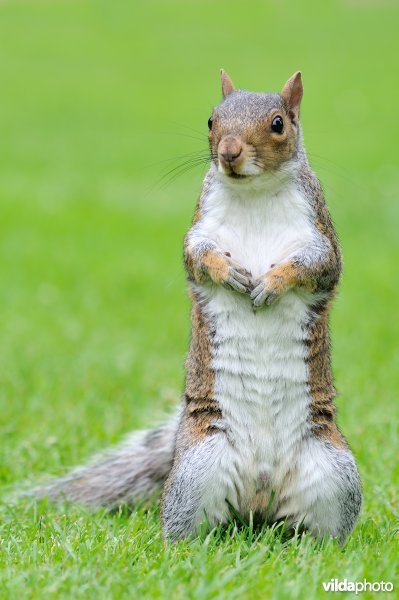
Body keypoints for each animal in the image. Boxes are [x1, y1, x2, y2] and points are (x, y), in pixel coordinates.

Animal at [32, 70, 360, 544]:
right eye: (211, 120)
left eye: (279, 123)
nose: (229, 152)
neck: (253, 194)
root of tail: (260, 497)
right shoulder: (201, 229)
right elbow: (198, 256)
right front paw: (230, 274)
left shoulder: (319, 235)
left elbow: (315, 265)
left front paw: (271, 283)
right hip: (196, 469)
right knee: (189, 524)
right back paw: (184, 546)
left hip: (335, 473)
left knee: (319, 528)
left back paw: (318, 548)